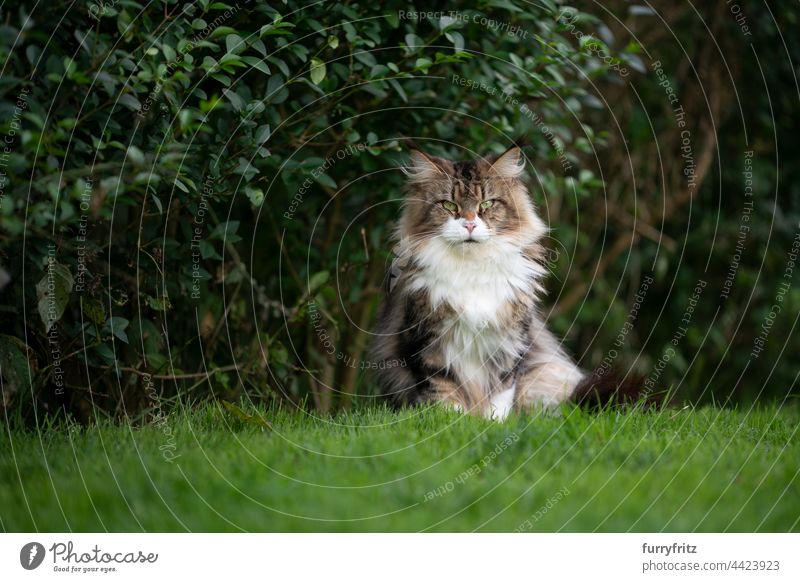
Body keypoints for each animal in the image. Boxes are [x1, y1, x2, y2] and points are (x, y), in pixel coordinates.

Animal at [374, 144, 644, 422]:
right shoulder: (427, 345)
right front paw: (453, 423)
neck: (472, 270)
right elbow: (444, 394)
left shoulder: (510, 341)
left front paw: (495, 424)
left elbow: (501, 392)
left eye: (487, 204)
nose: (469, 224)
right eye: (449, 205)